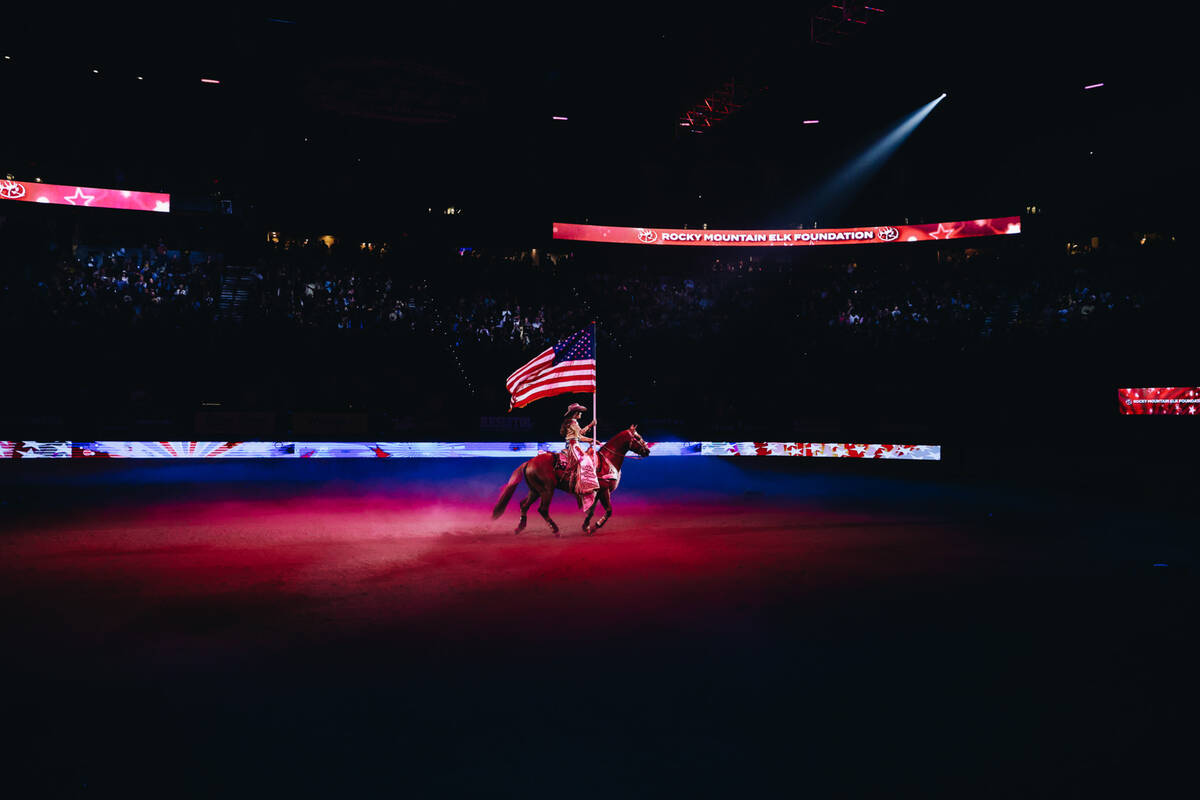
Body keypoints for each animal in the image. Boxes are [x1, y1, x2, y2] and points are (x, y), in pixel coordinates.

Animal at [489, 424, 652, 537]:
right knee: (542, 509)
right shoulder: (605, 491)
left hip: (535, 490)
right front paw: (595, 526)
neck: (607, 461)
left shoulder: (596, 492)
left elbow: (591, 511)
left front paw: (586, 527)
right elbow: (609, 510)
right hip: (547, 490)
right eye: (637, 437)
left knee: (524, 505)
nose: (647, 451)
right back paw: (555, 530)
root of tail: (529, 462)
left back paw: (520, 527)